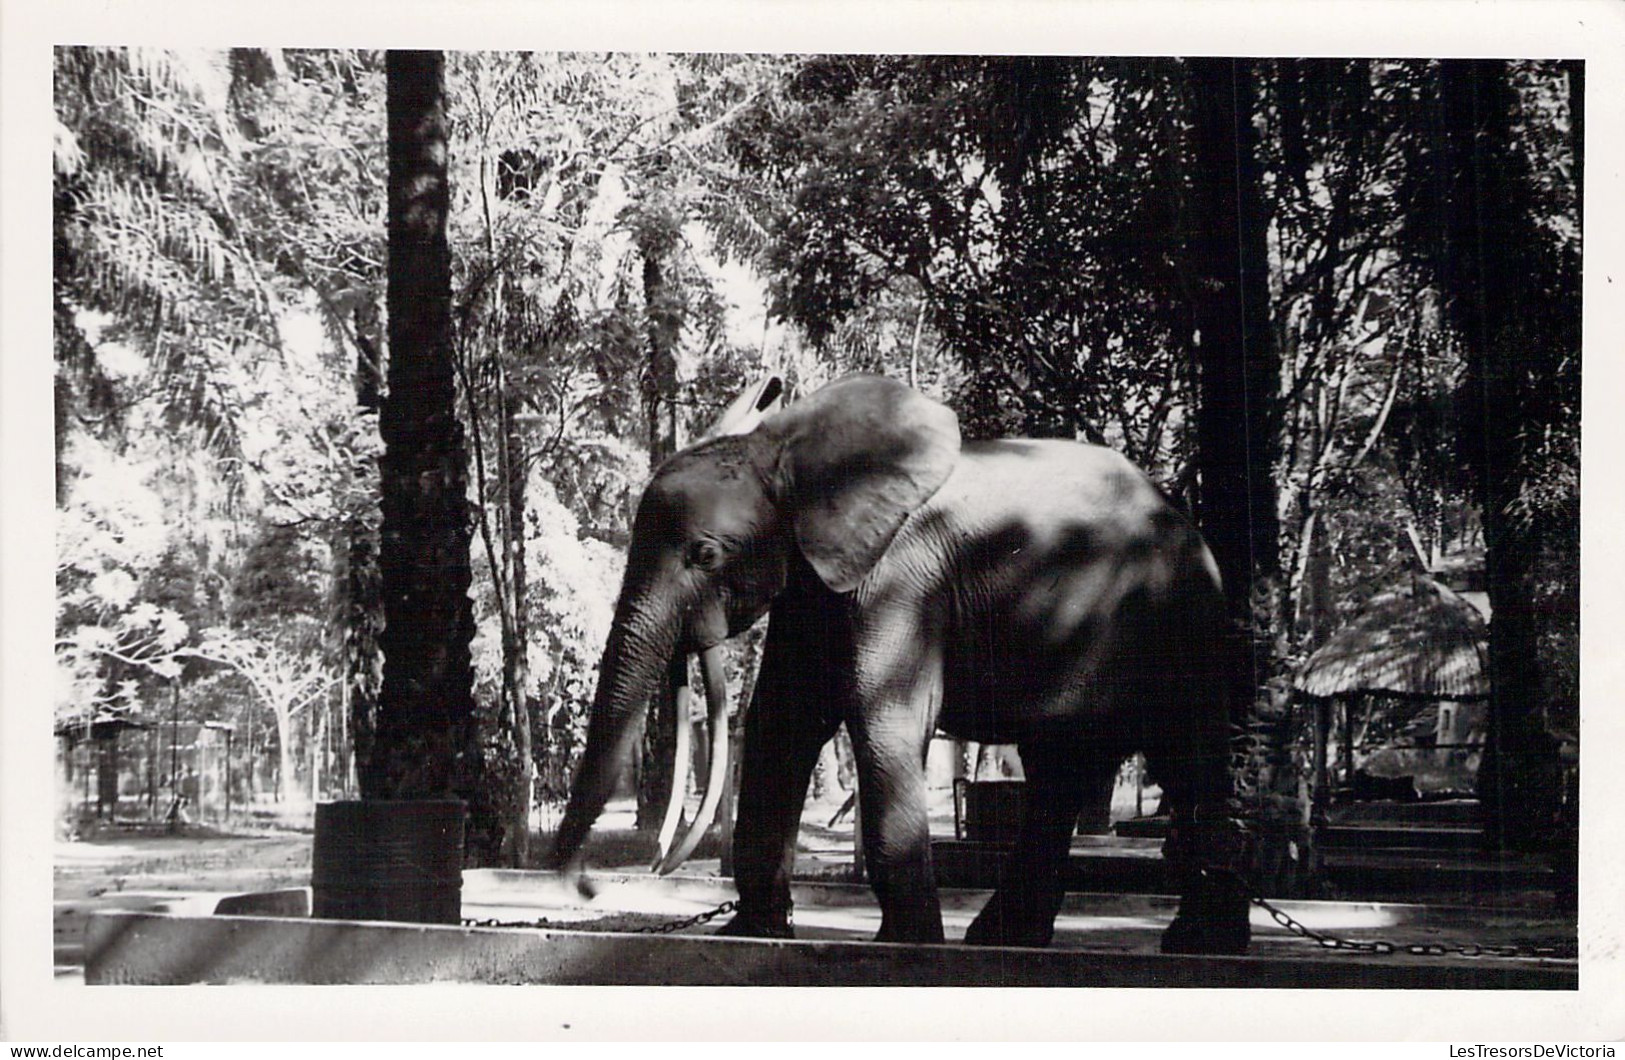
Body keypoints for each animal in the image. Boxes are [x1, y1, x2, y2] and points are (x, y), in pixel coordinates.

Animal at [552, 377, 1248, 955]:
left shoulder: (903, 577)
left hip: (1180, 619)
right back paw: (1007, 940)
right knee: (1063, 765)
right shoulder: (813, 582)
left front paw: (907, 945)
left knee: (1184, 753)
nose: (587, 888)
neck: (786, 453)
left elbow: (880, 716)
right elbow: (783, 721)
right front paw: (751, 933)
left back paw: (1201, 946)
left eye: (705, 554)